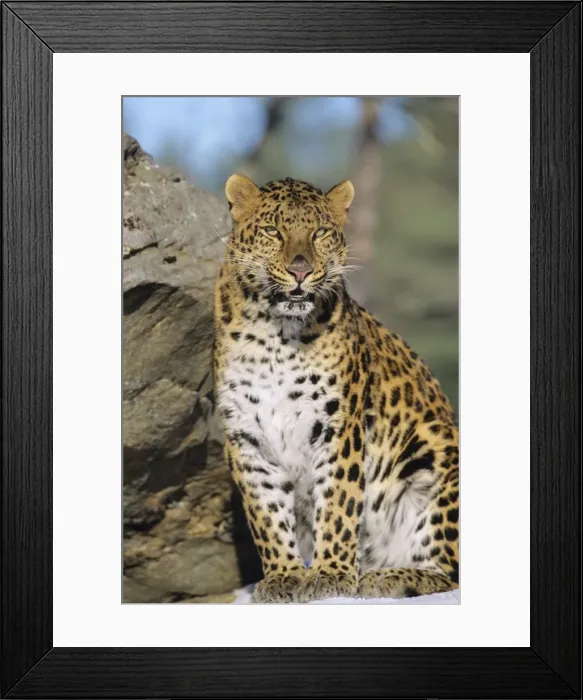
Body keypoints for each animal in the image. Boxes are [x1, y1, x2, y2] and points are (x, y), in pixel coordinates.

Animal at [213, 174, 459, 603]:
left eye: (320, 233)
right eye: (273, 231)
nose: (300, 270)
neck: (275, 335)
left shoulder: (339, 426)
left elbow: (338, 503)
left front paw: (330, 574)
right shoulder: (246, 435)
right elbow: (266, 513)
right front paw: (284, 575)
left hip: (438, 443)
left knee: (451, 573)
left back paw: (388, 578)